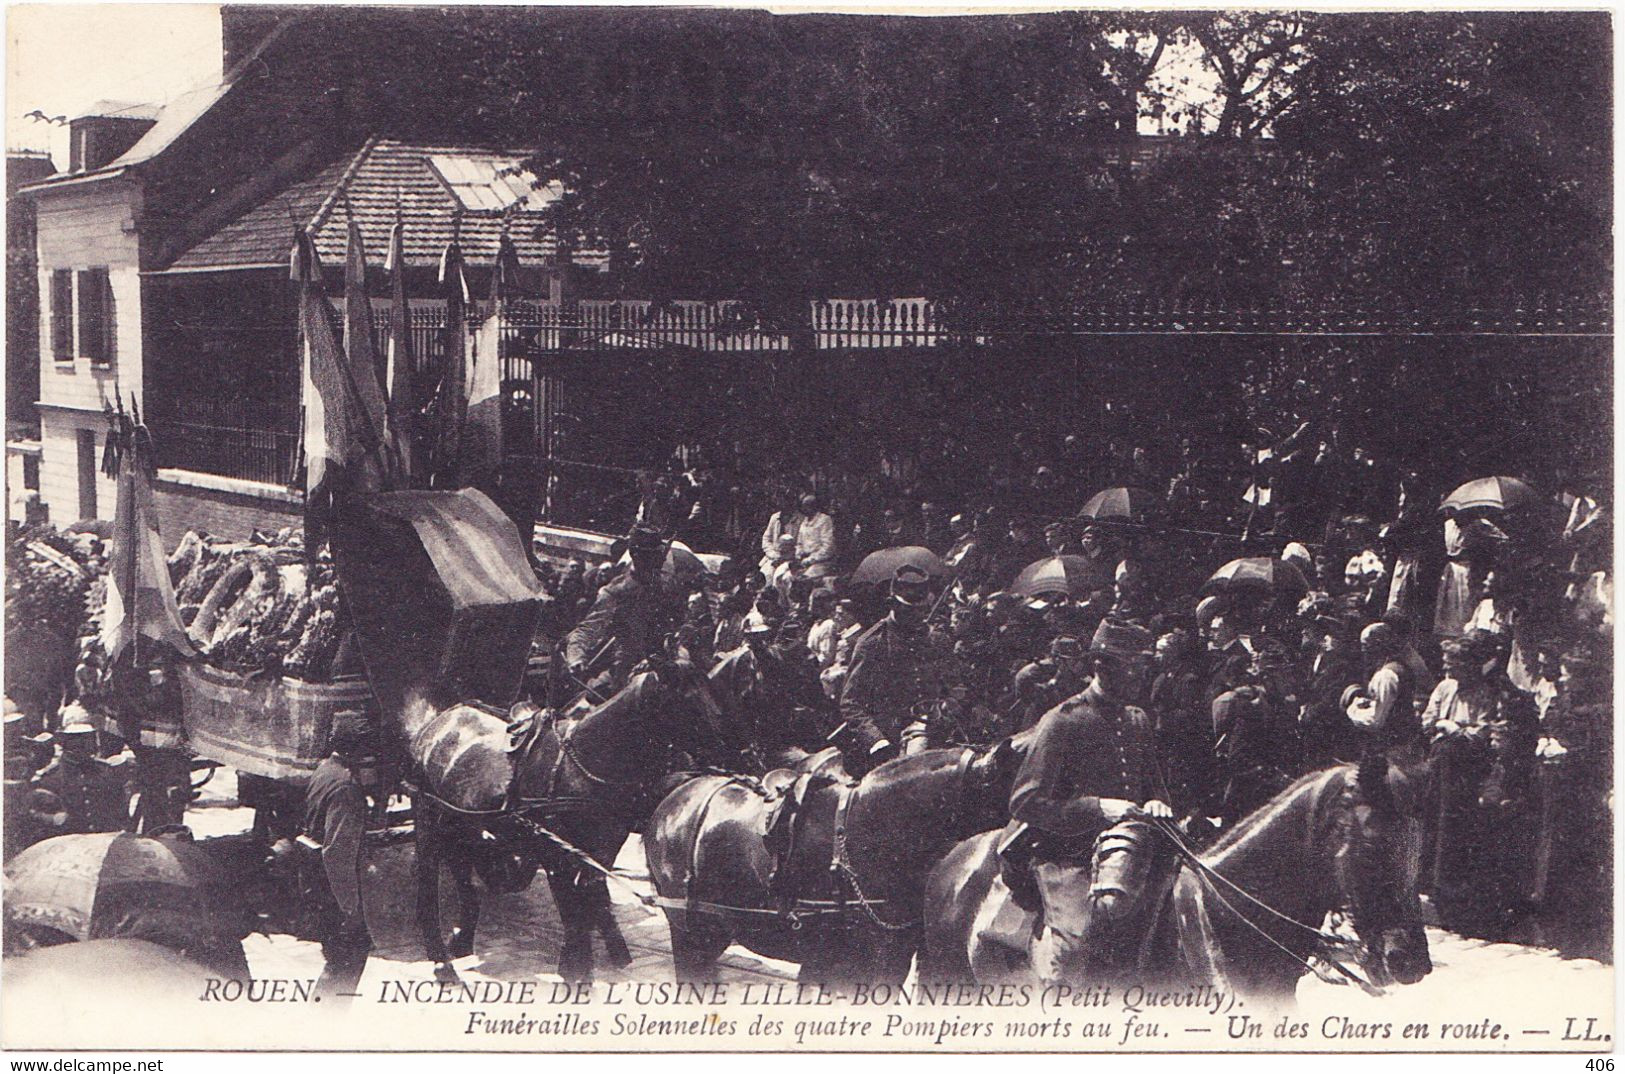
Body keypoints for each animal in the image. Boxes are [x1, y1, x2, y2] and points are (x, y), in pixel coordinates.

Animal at [406, 653, 744, 981]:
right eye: (685, 699)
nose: (732, 748)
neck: (583, 762)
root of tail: (437, 723)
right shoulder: (556, 853)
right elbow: (573, 913)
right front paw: (577, 971)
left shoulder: (601, 852)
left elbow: (591, 901)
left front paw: (591, 961)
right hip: (427, 818)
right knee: (427, 891)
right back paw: (442, 964)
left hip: (461, 826)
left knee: (465, 879)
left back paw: (461, 943)